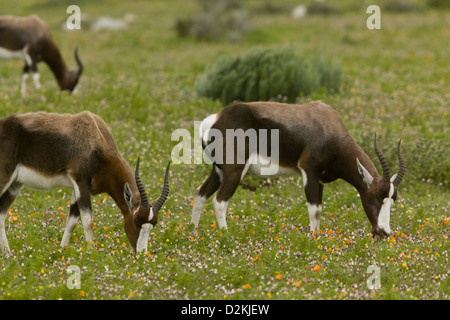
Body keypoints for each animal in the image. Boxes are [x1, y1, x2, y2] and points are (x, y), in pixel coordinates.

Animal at [0, 110, 169, 255]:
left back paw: (8, 254)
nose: (141, 254)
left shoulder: (77, 188)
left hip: (15, 185)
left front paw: (61, 251)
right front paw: (91, 254)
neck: (96, 135)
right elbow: (88, 220)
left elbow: (72, 221)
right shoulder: (81, 183)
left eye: (152, 225)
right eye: (136, 221)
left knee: (1, 214)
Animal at [192, 101, 406, 239]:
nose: (384, 232)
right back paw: (226, 235)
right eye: (375, 197)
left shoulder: (319, 180)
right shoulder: (309, 172)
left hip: (218, 171)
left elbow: (319, 209)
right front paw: (313, 240)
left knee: (200, 193)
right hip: (234, 171)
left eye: (392, 200)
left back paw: (192, 233)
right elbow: (315, 210)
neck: (327, 123)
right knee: (220, 201)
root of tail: (216, 118)